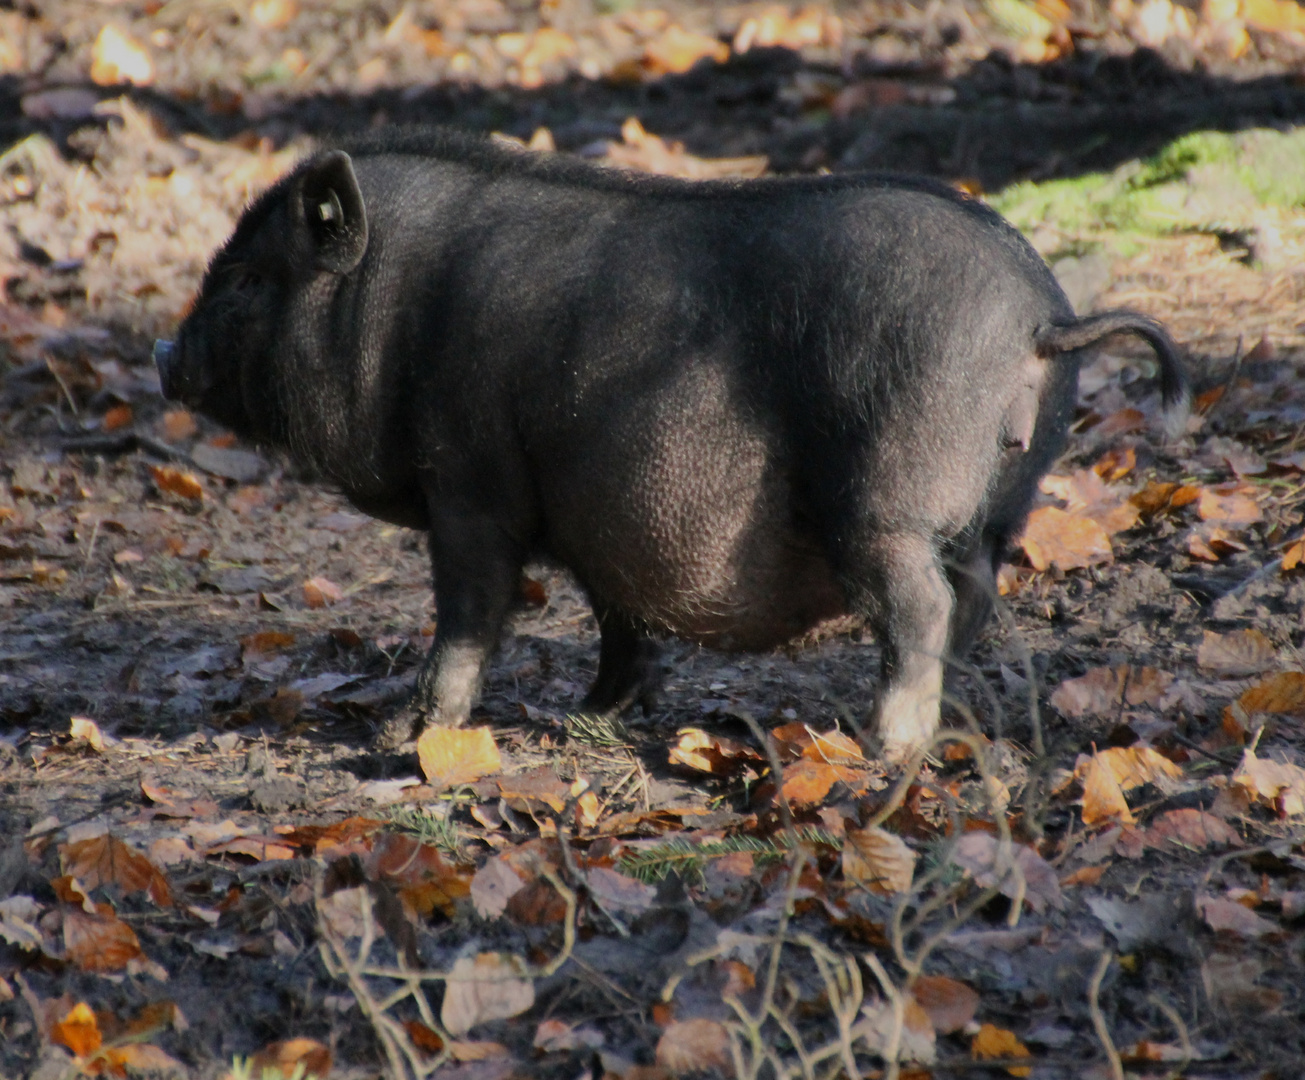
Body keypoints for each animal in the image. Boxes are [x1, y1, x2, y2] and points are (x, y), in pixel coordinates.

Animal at [150, 131, 1184, 761]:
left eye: (246, 279)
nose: (162, 354)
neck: (393, 308)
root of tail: (1046, 322)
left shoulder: (470, 484)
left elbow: (471, 611)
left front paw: (406, 737)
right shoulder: (594, 507)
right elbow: (619, 615)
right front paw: (586, 717)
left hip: (884, 504)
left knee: (920, 606)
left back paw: (880, 745)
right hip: (1000, 503)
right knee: (975, 593)